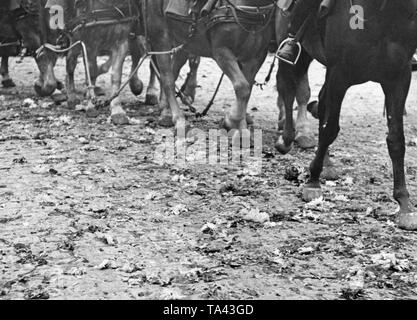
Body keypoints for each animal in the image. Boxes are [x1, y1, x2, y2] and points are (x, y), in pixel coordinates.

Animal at [142, 0, 276, 131]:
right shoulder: (222, 51)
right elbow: (242, 86)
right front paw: (233, 121)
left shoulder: (256, 57)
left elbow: (248, 88)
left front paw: (237, 123)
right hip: (160, 36)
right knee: (167, 78)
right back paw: (177, 118)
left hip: (185, 43)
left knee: (173, 72)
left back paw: (166, 109)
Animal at [274, 0, 416, 230]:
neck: (384, 15)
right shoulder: (340, 73)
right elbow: (330, 129)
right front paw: (312, 182)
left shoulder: (398, 77)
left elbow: (396, 140)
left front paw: (405, 204)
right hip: (298, 51)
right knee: (287, 87)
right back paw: (286, 139)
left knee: (321, 103)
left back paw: (327, 164)